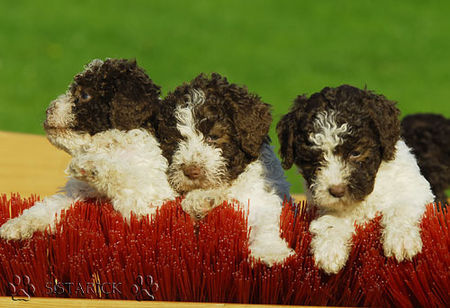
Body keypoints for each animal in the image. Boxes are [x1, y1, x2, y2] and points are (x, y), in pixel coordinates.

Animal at [0, 58, 175, 241]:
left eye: (84, 95)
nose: (48, 110)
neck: (109, 144)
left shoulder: (150, 206)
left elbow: (124, 178)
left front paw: (90, 166)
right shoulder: (76, 194)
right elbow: (50, 205)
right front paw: (17, 224)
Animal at [156, 73, 294, 266]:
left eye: (214, 137)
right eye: (174, 141)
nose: (191, 171)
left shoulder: (263, 194)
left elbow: (265, 219)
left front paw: (271, 251)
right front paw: (201, 199)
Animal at [276, 85, 434, 274]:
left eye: (356, 153)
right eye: (314, 160)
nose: (337, 191)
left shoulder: (414, 188)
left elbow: (401, 208)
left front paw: (400, 240)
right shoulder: (323, 205)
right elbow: (329, 221)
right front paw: (329, 250)